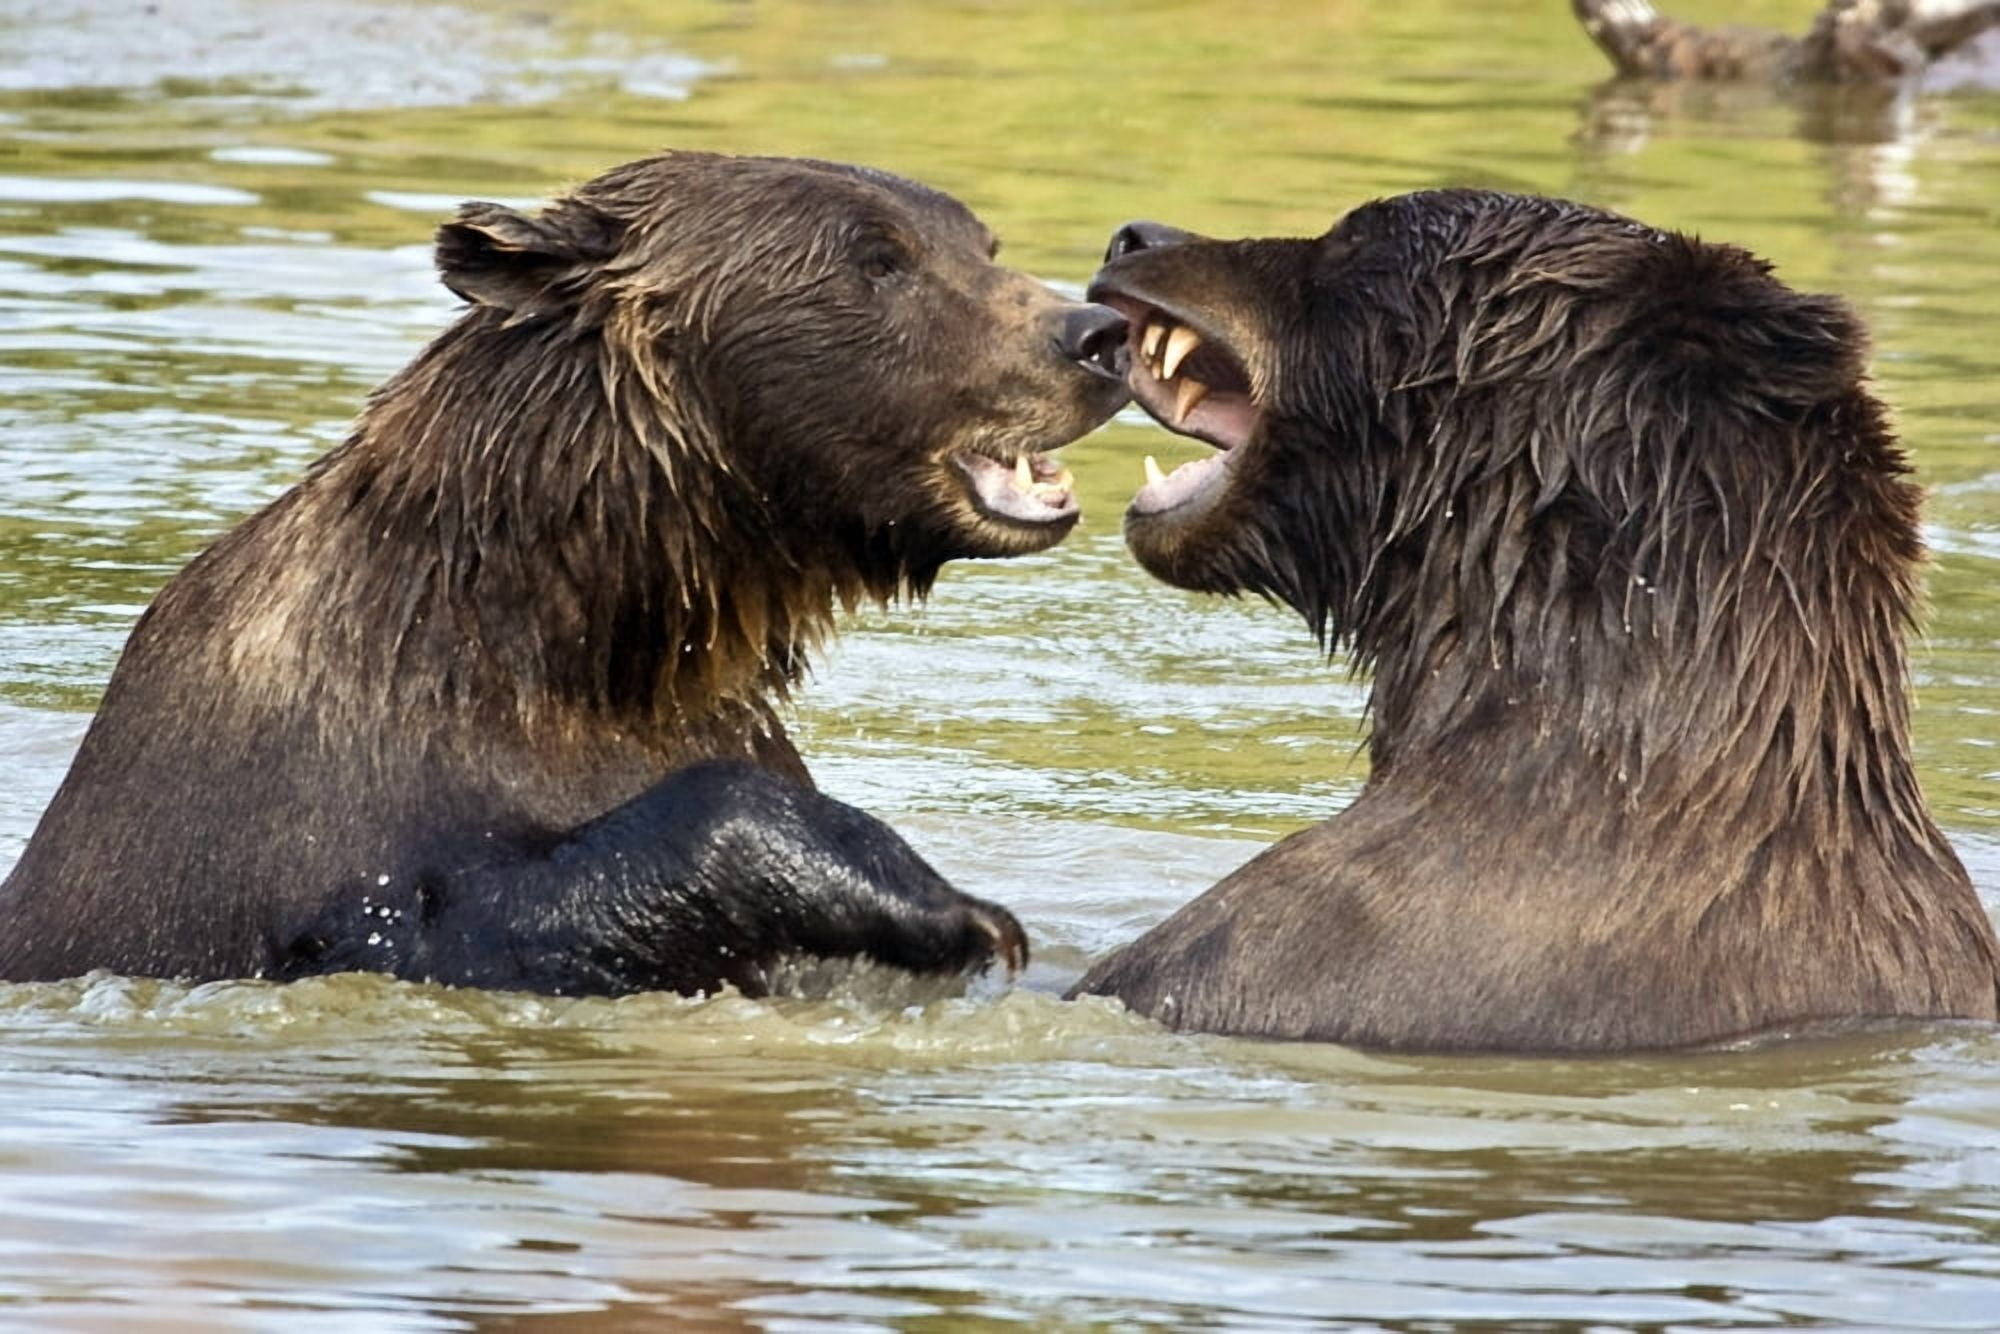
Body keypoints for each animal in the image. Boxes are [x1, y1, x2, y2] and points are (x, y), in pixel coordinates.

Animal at [0, 151, 1131, 997]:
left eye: (977, 242)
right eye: (878, 258)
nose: (1094, 333)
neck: (586, 635)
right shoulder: (313, 821)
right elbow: (458, 923)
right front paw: (956, 910)